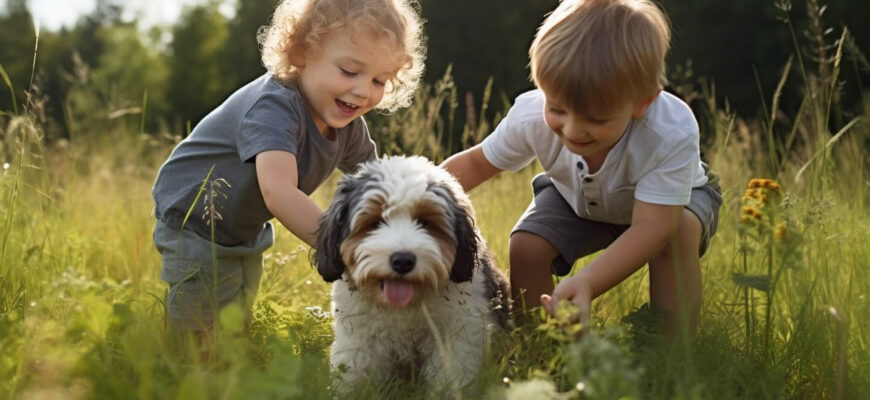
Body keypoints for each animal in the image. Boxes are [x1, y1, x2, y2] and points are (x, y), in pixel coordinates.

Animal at [316, 155, 510, 390]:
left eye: (425, 222)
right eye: (375, 222)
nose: (403, 261)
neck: (406, 306)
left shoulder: (457, 335)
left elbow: (450, 376)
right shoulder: (358, 338)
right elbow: (355, 372)